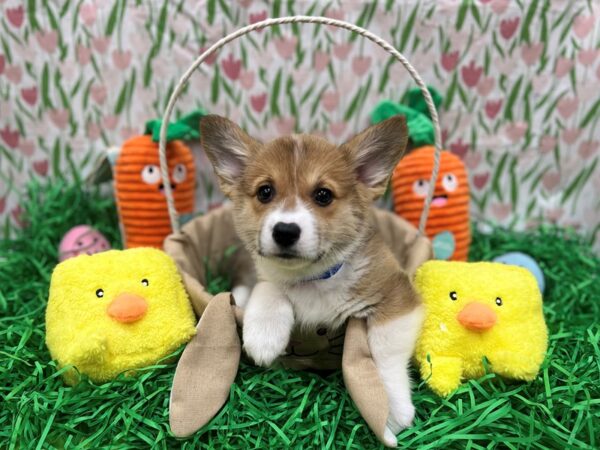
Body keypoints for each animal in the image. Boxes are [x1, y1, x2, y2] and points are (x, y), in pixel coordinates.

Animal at [203, 114, 426, 444]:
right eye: (265, 192)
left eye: (323, 195)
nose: (285, 231)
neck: (313, 279)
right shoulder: (266, 274)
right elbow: (269, 287)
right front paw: (264, 336)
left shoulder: (398, 296)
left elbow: (385, 351)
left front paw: (392, 407)